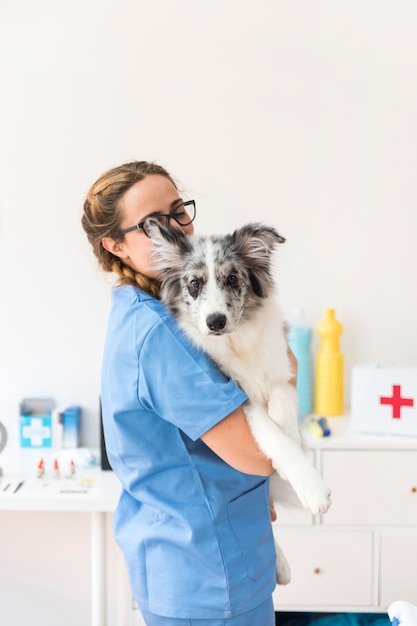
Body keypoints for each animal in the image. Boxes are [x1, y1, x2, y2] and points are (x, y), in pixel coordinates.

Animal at [146, 218, 332, 580]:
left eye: (232, 278)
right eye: (194, 284)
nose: (214, 321)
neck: (237, 341)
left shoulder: (283, 370)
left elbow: (281, 406)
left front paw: (293, 438)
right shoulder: (240, 400)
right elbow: (273, 436)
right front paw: (312, 488)